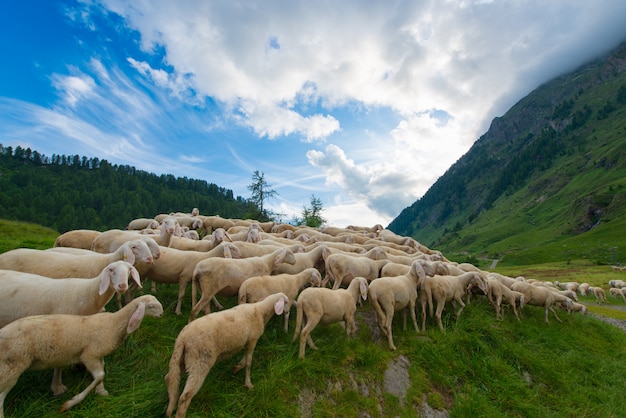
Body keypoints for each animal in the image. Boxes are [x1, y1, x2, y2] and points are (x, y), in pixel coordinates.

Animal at [0, 294, 163, 414]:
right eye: (151, 306)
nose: (162, 314)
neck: (113, 324)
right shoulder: (88, 355)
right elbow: (100, 375)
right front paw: (70, 403)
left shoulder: (97, 354)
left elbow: (102, 370)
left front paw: (101, 391)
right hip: (11, 367)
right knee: (1, 396)